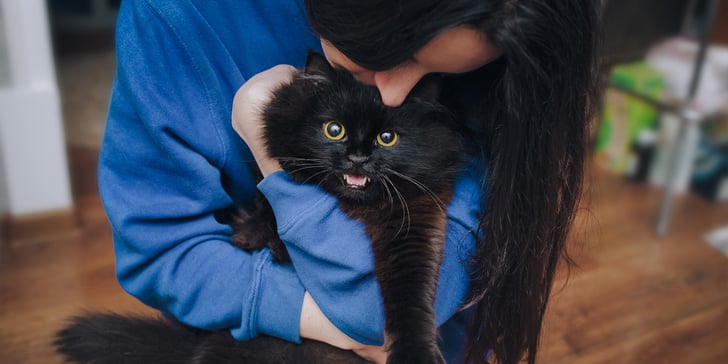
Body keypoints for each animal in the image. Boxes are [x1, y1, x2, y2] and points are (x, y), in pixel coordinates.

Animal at [58, 52, 466, 364]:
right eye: (334, 130)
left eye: (387, 138)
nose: (358, 158)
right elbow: (267, 205)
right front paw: (265, 239)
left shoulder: (415, 225)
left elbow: (412, 302)